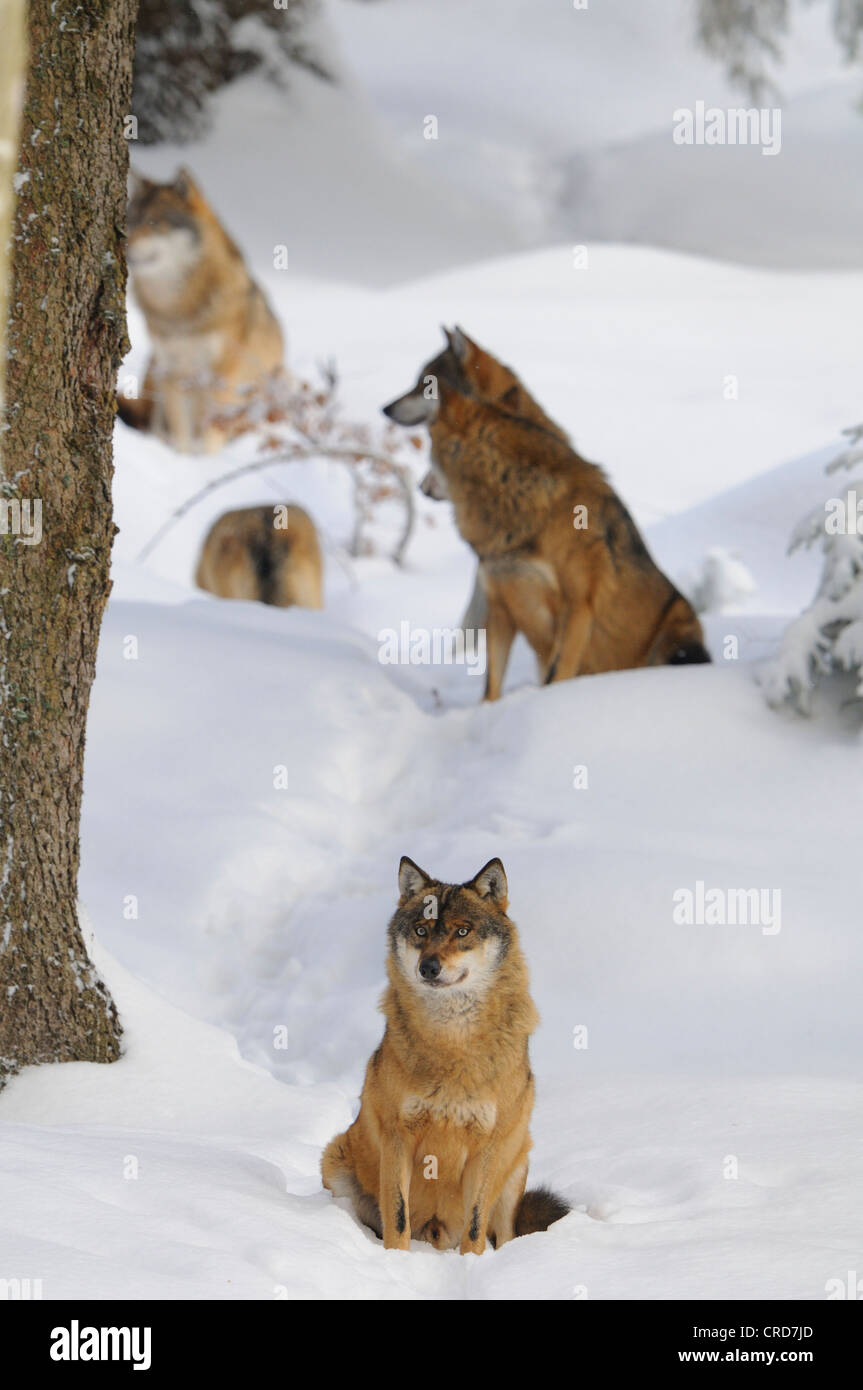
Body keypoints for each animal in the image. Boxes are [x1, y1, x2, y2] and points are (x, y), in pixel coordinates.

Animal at [116, 167, 282, 450]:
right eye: (132, 221)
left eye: (154, 223)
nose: (124, 245)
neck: (179, 309)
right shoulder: (172, 371)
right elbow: (181, 434)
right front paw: (180, 457)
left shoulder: (220, 373)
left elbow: (209, 434)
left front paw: (203, 457)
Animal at [319, 850, 569, 1256]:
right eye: (421, 931)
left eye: (462, 931)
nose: (429, 967)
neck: (452, 1040)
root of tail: (436, 1238)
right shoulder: (397, 1137)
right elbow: (397, 1216)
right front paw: (396, 1260)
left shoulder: (488, 1146)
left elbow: (475, 1225)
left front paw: (472, 1262)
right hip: (336, 1159)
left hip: (516, 1163)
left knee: (503, 1232)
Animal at [383, 329, 705, 700]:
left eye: (425, 385)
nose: (385, 408)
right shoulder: (500, 605)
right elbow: (491, 683)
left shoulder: (578, 605)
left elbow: (556, 675)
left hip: (678, 633)